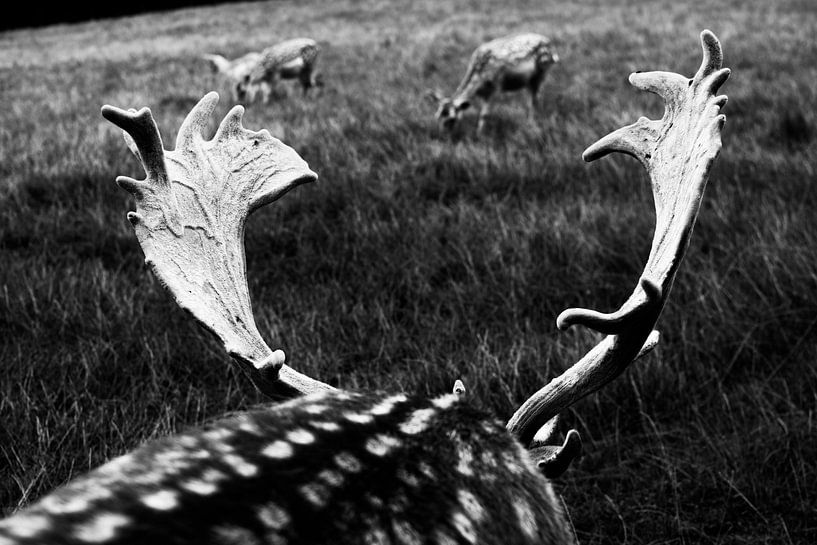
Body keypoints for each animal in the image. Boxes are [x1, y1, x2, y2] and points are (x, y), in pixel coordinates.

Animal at [428, 33, 560, 134]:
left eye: (451, 119)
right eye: (437, 116)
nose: (443, 135)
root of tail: (552, 48)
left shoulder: (495, 87)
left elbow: (484, 115)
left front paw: (479, 135)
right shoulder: (484, 93)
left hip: (541, 73)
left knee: (535, 100)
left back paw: (531, 125)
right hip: (530, 81)